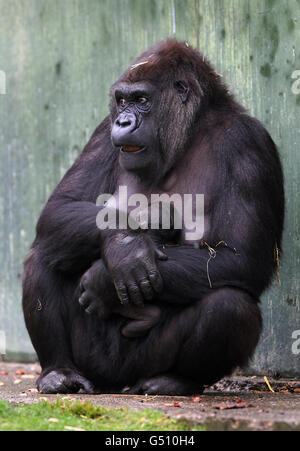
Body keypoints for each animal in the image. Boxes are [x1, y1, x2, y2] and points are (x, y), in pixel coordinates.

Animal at [22, 40, 284, 398]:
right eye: (122, 101)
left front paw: (104, 278)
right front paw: (125, 246)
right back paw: (59, 371)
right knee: (47, 252)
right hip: (92, 362)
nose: (123, 122)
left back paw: (174, 380)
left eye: (142, 100)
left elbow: (240, 257)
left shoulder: (248, 144)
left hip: (142, 363)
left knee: (229, 306)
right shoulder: (103, 131)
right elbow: (59, 209)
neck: (190, 131)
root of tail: (116, 384)